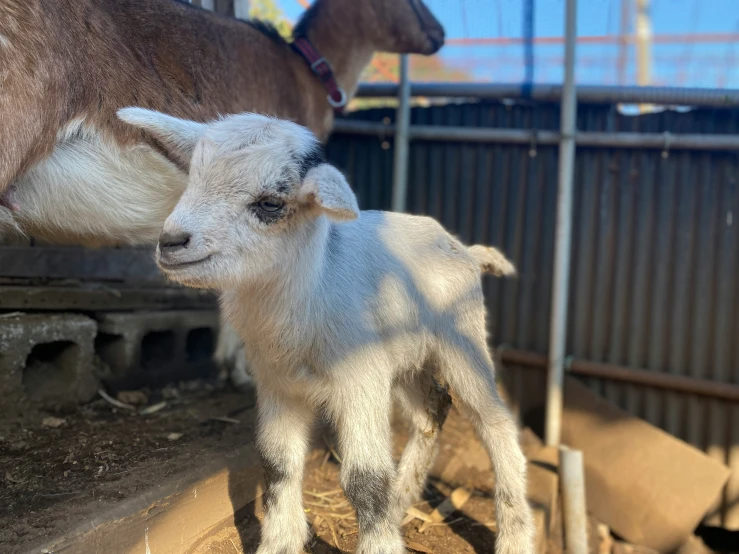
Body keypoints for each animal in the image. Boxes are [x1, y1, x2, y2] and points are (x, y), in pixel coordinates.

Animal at [115, 108, 532, 552]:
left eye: (269, 203)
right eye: (191, 178)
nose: (171, 242)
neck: (311, 290)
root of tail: (463, 249)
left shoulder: (360, 379)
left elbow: (366, 480)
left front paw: (378, 544)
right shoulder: (277, 383)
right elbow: (277, 463)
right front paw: (279, 542)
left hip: (462, 340)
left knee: (496, 424)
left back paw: (514, 535)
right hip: (404, 359)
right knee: (433, 410)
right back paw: (402, 502)